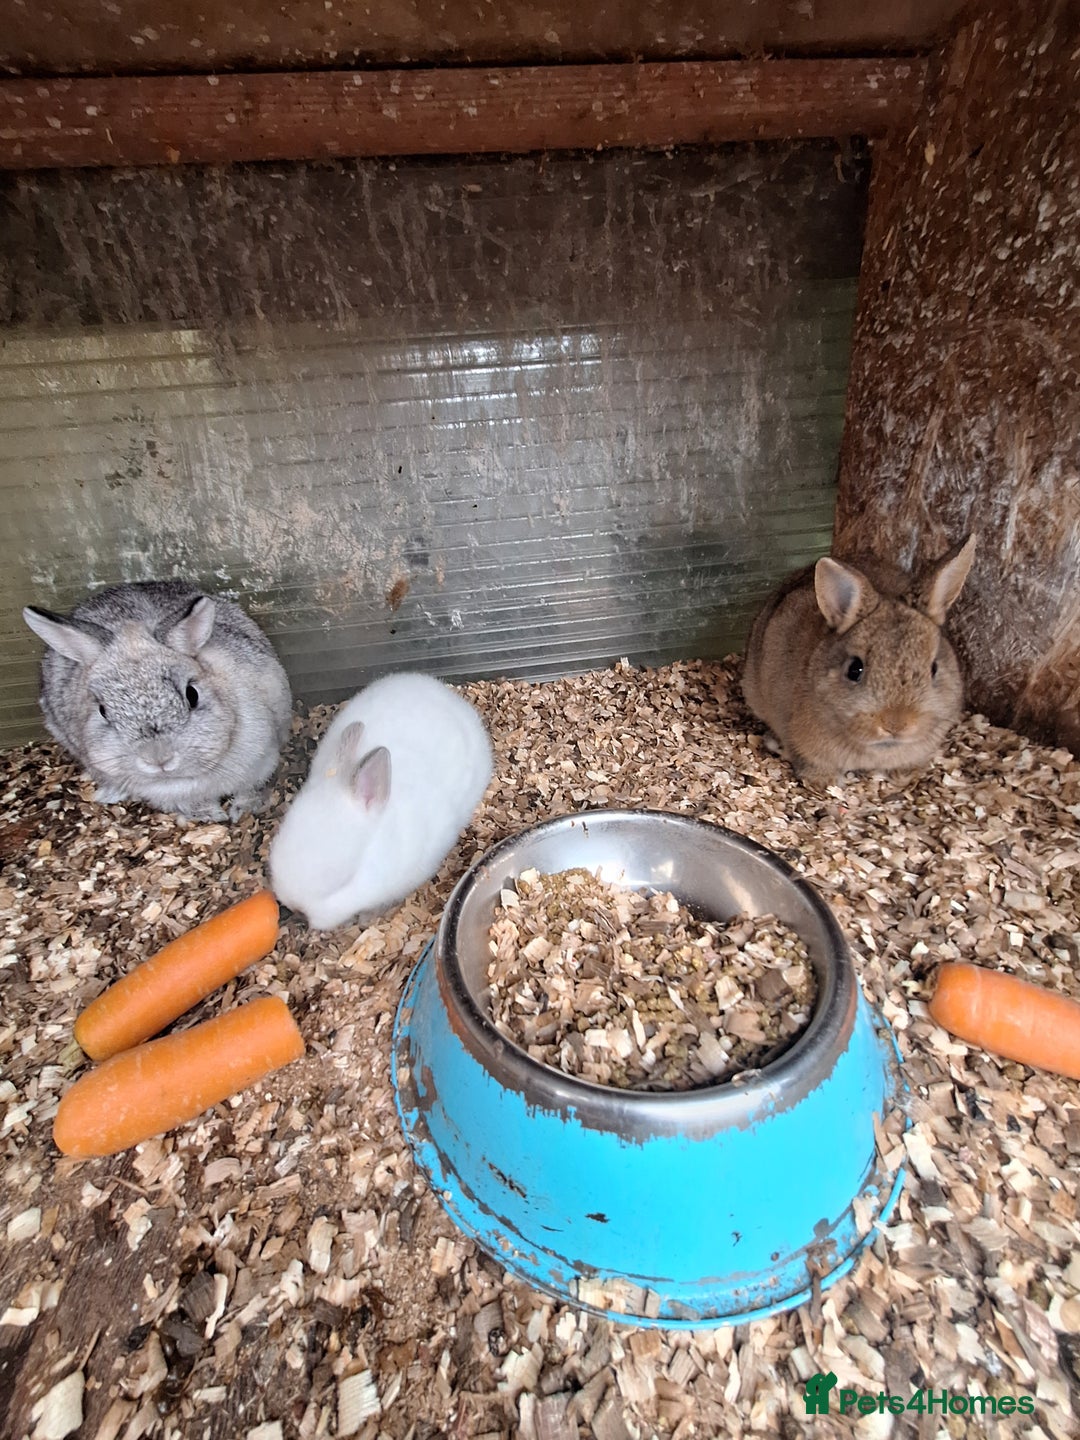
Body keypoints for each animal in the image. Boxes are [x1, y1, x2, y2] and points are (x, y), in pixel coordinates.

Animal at [23, 579, 293, 820]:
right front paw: (210, 815)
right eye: (102, 711)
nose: (158, 759)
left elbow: (249, 789)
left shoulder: (261, 761)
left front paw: (243, 810)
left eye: (192, 695)